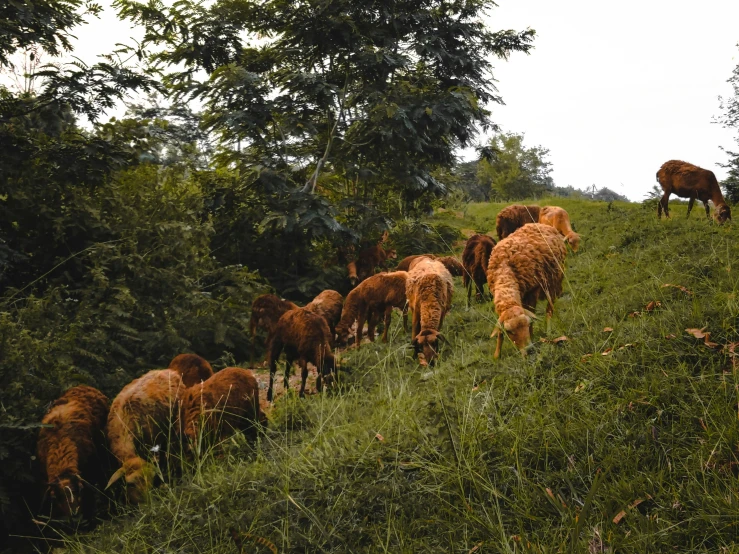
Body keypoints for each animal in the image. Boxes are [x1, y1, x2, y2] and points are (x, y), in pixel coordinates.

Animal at [486, 223, 568, 358]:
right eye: (510, 331)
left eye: (527, 324)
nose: (529, 350)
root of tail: (540, 224)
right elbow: (499, 331)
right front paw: (497, 355)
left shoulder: (532, 292)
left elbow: (532, 313)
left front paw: (533, 337)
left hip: (553, 280)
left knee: (549, 308)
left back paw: (549, 330)